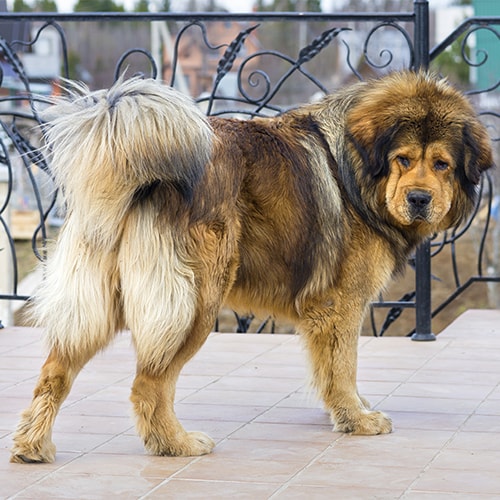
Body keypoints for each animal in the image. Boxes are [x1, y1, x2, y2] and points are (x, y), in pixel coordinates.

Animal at [10, 70, 492, 460]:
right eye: (403, 160)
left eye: (442, 164)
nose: (419, 199)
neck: (356, 171)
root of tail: (139, 171)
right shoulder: (339, 305)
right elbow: (343, 367)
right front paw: (357, 419)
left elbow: (332, 369)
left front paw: (347, 411)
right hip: (195, 303)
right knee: (148, 385)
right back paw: (175, 444)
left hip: (100, 301)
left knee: (54, 371)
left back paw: (32, 446)